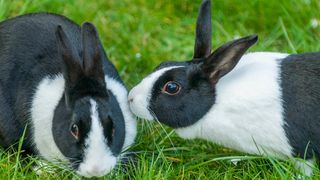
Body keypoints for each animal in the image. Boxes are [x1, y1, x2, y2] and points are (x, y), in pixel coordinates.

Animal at [128, 0, 320, 176]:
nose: (130, 98)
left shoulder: (302, 152)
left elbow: (304, 169)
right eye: (162, 64)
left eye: (172, 87)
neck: (216, 101)